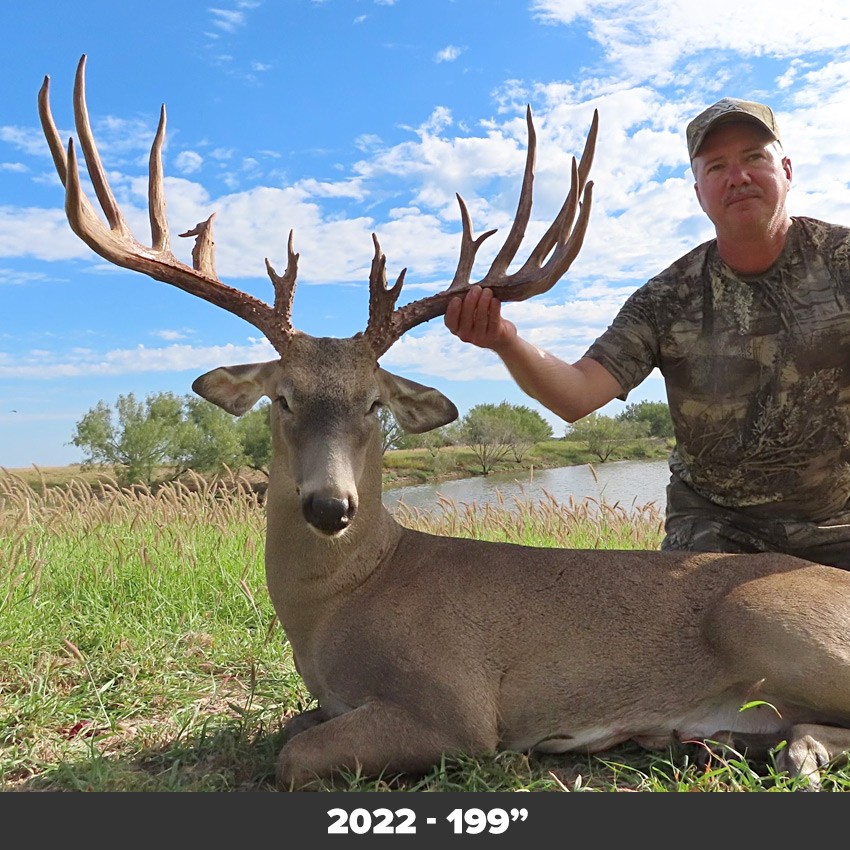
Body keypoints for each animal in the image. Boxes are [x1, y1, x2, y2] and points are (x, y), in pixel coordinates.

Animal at [39, 55, 850, 792]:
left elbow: (294, 755)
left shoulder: (455, 706)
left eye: (374, 403)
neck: (343, 604)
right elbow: (293, 726)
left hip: (765, 617)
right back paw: (749, 743)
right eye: (283, 399)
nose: (329, 506)